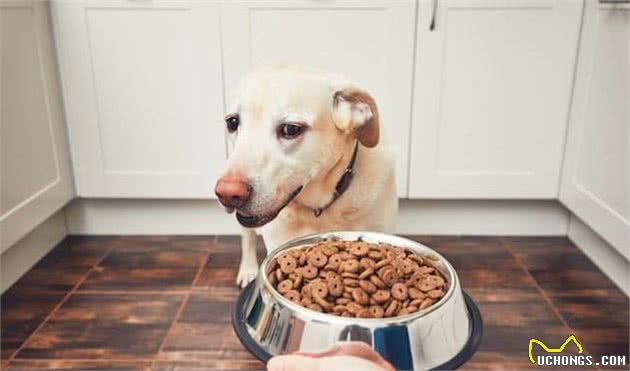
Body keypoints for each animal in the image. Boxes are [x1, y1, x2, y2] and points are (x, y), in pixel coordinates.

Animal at [215, 66, 398, 288]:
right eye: (232, 122)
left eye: (291, 129)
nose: (227, 193)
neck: (320, 208)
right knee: (247, 237)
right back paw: (248, 269)